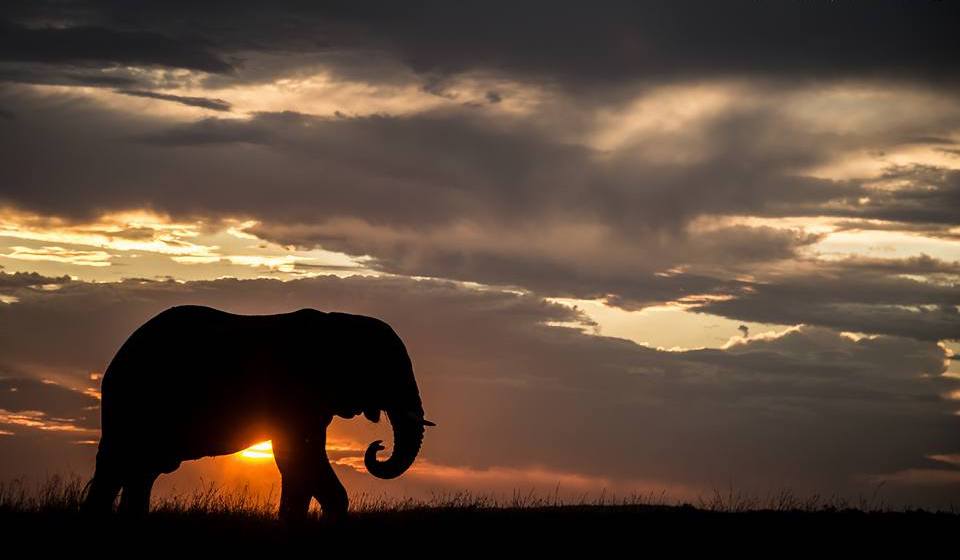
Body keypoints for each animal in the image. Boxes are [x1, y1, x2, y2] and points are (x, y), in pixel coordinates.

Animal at [82, 304, 436, 520]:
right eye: (387, 369)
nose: (378, 446)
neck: (337, 322)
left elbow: (301, 459)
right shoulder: (294, 394)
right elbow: (298, 456)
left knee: (139, 472)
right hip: (131, 406)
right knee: (116, 466)